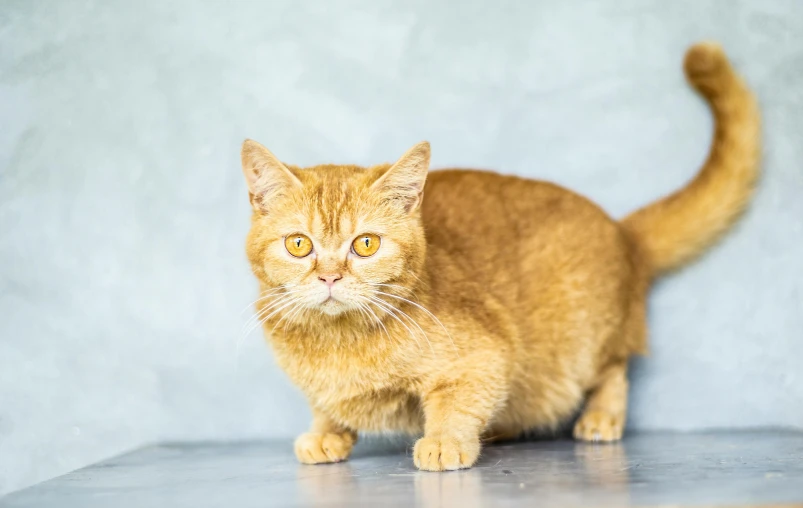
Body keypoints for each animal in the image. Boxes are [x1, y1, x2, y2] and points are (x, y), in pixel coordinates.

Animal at [239, 43, 760, 472]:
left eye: (365, 244)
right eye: (299, 244)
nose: (329, 277)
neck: (336, 345)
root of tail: (621, 230)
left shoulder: (485, 356)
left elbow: (455, 403)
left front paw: (445, 441)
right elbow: (325, 405)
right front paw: (326, 433)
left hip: (581, 344)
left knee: (615, 368)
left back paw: (601, 416)